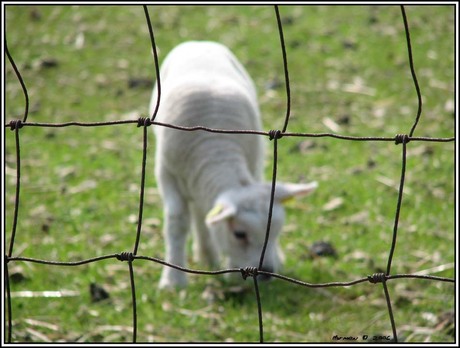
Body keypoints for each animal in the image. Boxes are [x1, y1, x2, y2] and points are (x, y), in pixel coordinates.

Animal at [150, 40, 316, 288]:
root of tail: (199, 42)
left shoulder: (254, 164)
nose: (266, 273)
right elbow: (177, 222)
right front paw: (173, 281)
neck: (217, 150)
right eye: (239, 234)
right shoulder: (166, 173)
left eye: (277, 230)